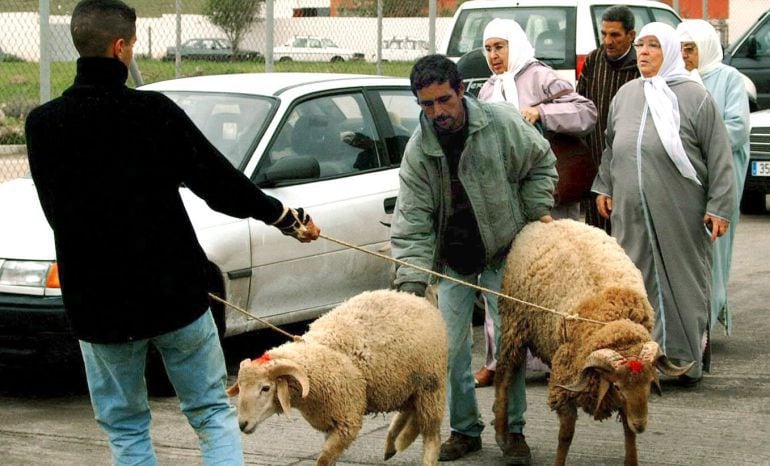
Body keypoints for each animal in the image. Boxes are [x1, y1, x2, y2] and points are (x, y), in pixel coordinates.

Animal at [225, 290, 448, 466]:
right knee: (410, 412)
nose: (242, 424)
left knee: (431, 435)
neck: (318, 356)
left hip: (431, 386)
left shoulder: (347, 421)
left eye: (265, 388)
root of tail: (419, 300)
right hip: (407, 386)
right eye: (241, 388)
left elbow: (324, 459)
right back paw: (392, 444)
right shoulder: (331, 421)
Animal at [492, 219, 688, 466]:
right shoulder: (563, 386)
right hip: (514, 322)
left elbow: (628, 433)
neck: (611, 322)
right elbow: (565, 436)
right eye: (617, 386)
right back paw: (501, 434)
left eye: (650, 384)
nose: (641, 425)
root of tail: (545, 222)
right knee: (504, 376)